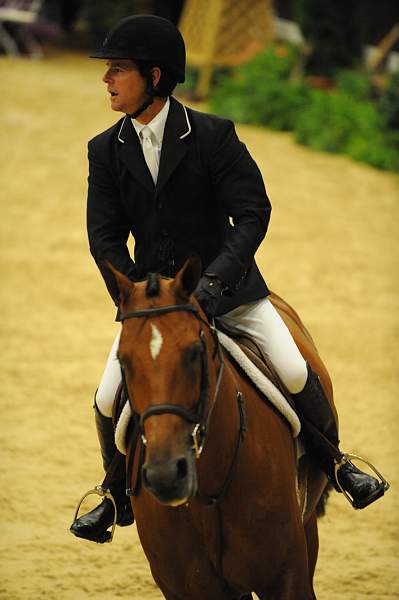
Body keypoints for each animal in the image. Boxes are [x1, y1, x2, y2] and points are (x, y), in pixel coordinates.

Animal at [108, 258, 332, 600]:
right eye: (123, 360)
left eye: (194, 352)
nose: (166, 475)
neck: (209, 493)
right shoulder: (189, 588)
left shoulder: (287, 577)